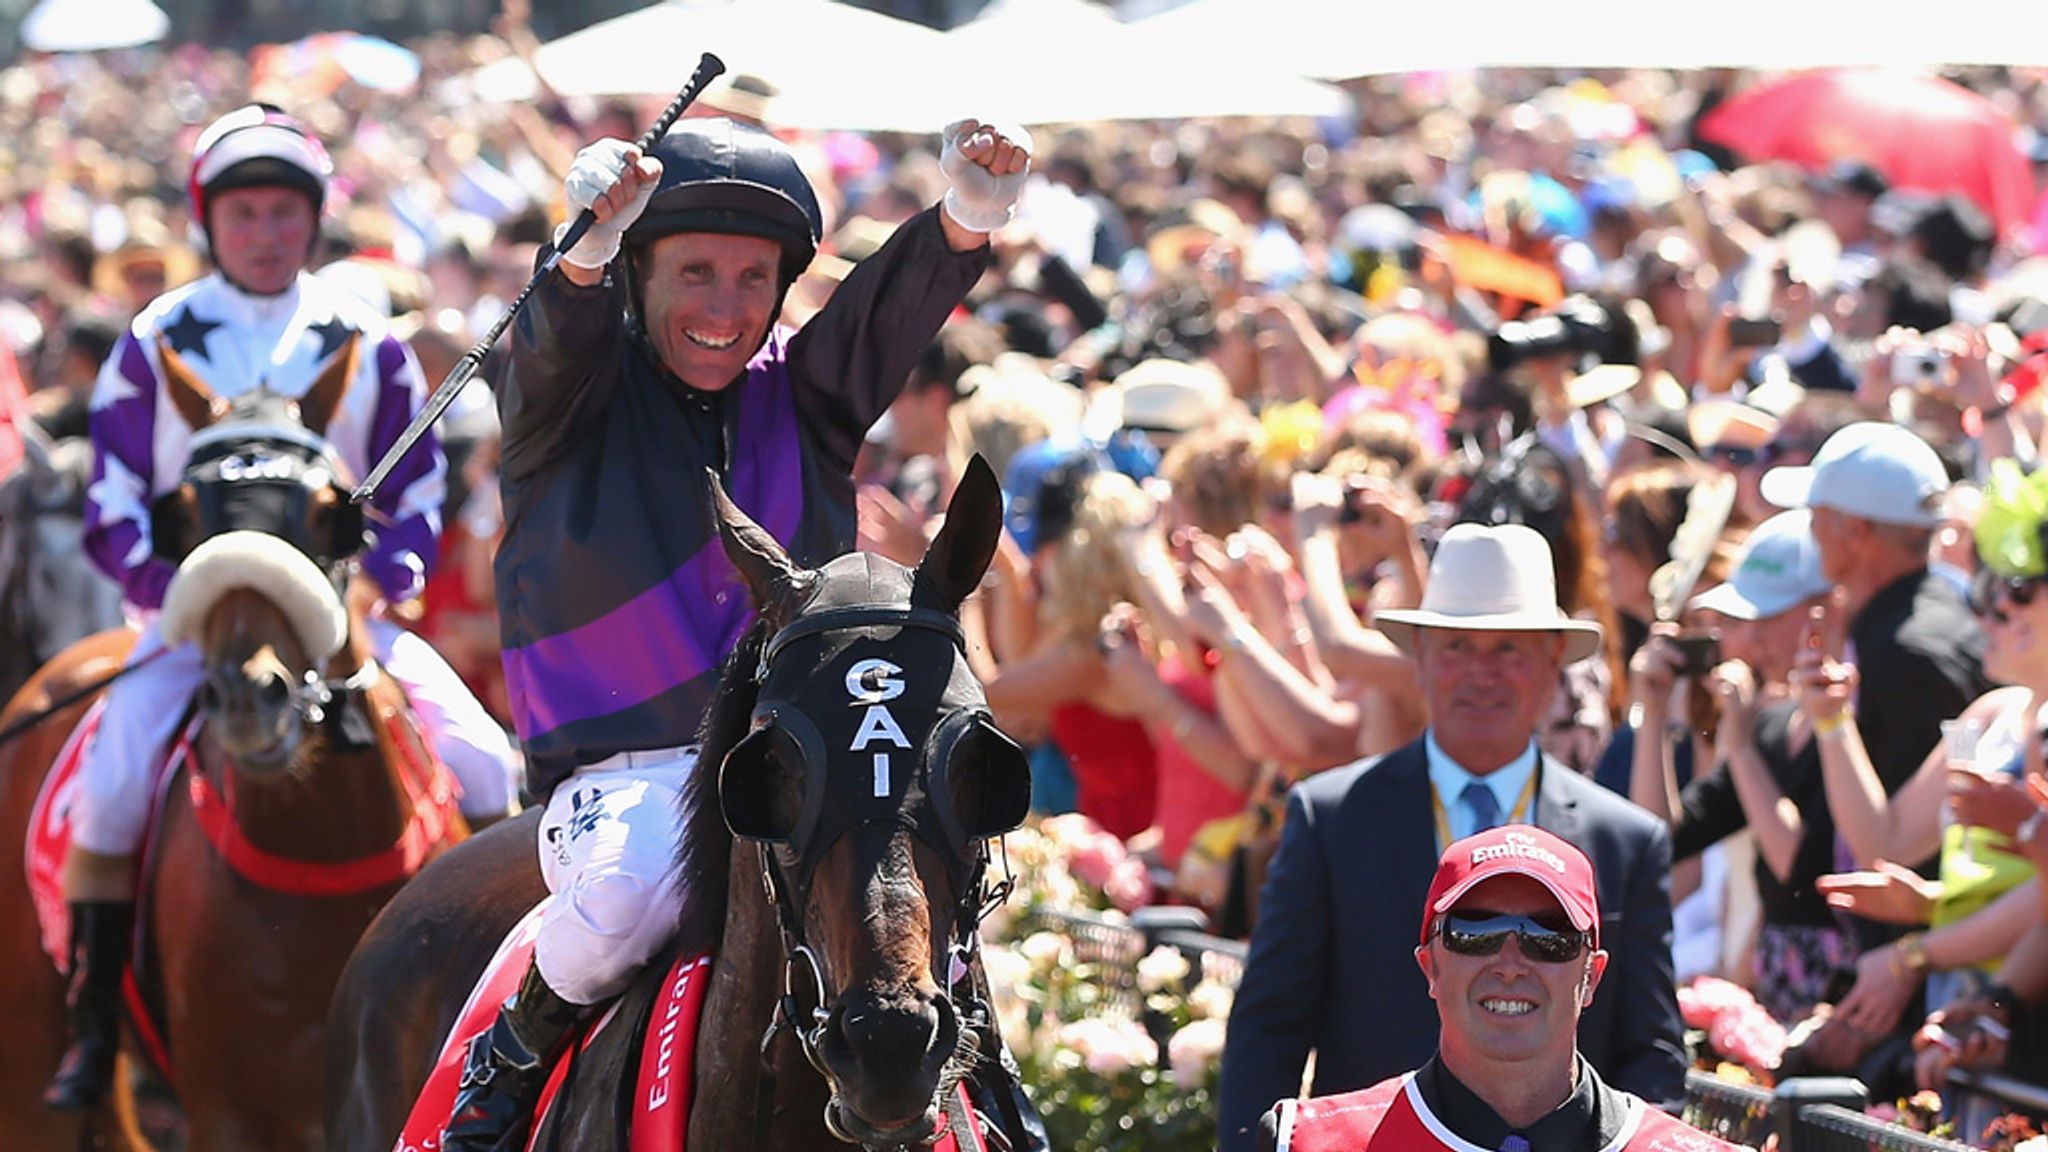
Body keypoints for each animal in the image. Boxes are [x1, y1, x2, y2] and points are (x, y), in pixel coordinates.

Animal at [0, 342, 468, 1147]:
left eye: (328, 514)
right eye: (184, 516)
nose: (251, 696)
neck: (323, 859)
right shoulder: (232, 1114)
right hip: (27, 1060)